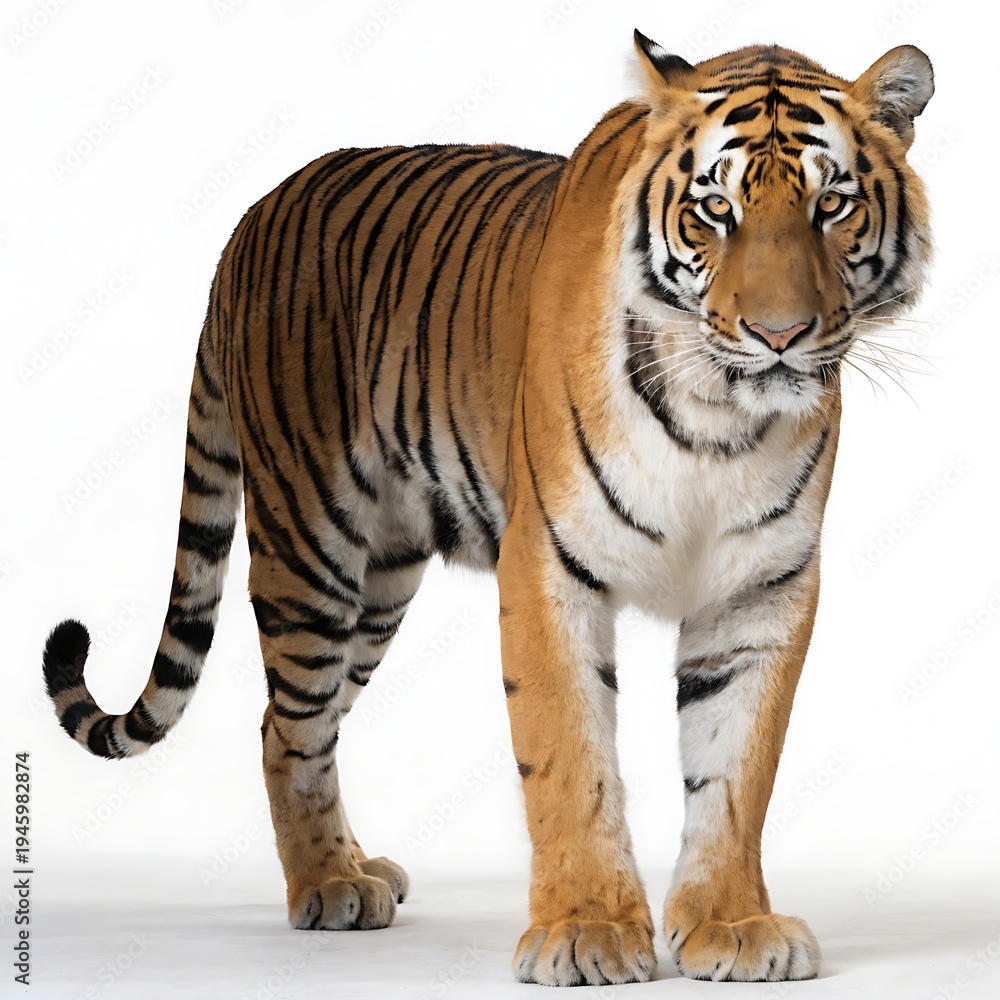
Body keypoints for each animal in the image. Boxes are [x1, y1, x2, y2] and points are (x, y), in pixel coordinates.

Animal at [42, 31, 934, 985]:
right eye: (715, 210)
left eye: (832, 205)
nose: (779, 335)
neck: (719, 418)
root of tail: (250, 220)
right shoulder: (549, 564)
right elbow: (570, 756)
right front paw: (586, 932)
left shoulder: (762, 587)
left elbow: (735, 768)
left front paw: (730, 925)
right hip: (311, 548)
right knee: (289, 726)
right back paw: (327, 886)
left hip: (382, 581)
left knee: (302, 720)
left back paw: (355, 865)